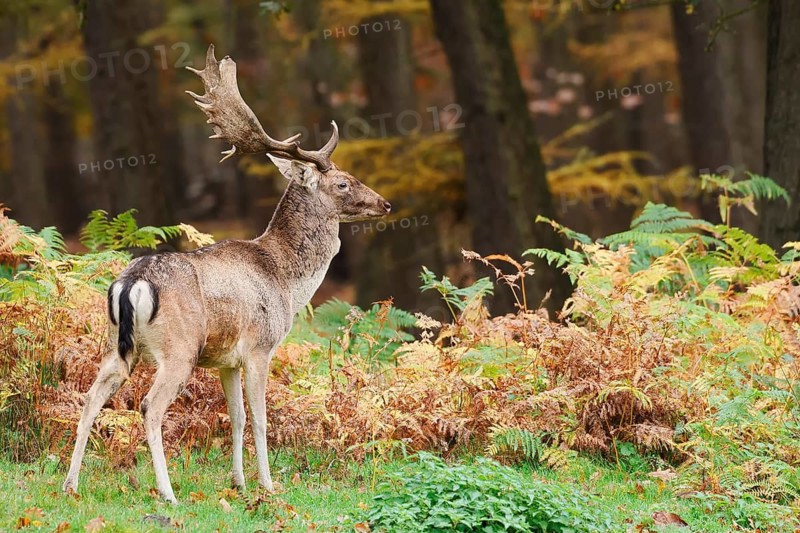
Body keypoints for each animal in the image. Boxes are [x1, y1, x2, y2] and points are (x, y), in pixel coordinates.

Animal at [62, 44, 391, 504]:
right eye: (343, 183)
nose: (385, 204)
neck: (287, 279)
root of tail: (132, 283)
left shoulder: (226, 360)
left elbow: (235, 417)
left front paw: (237, 483)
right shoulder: (260, 347)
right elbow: (260, 418)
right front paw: (268, 486)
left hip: (116, 345)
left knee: (91, 398)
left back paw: (70, 485)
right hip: (179, 347)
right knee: (149, 406)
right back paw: (168, 493)